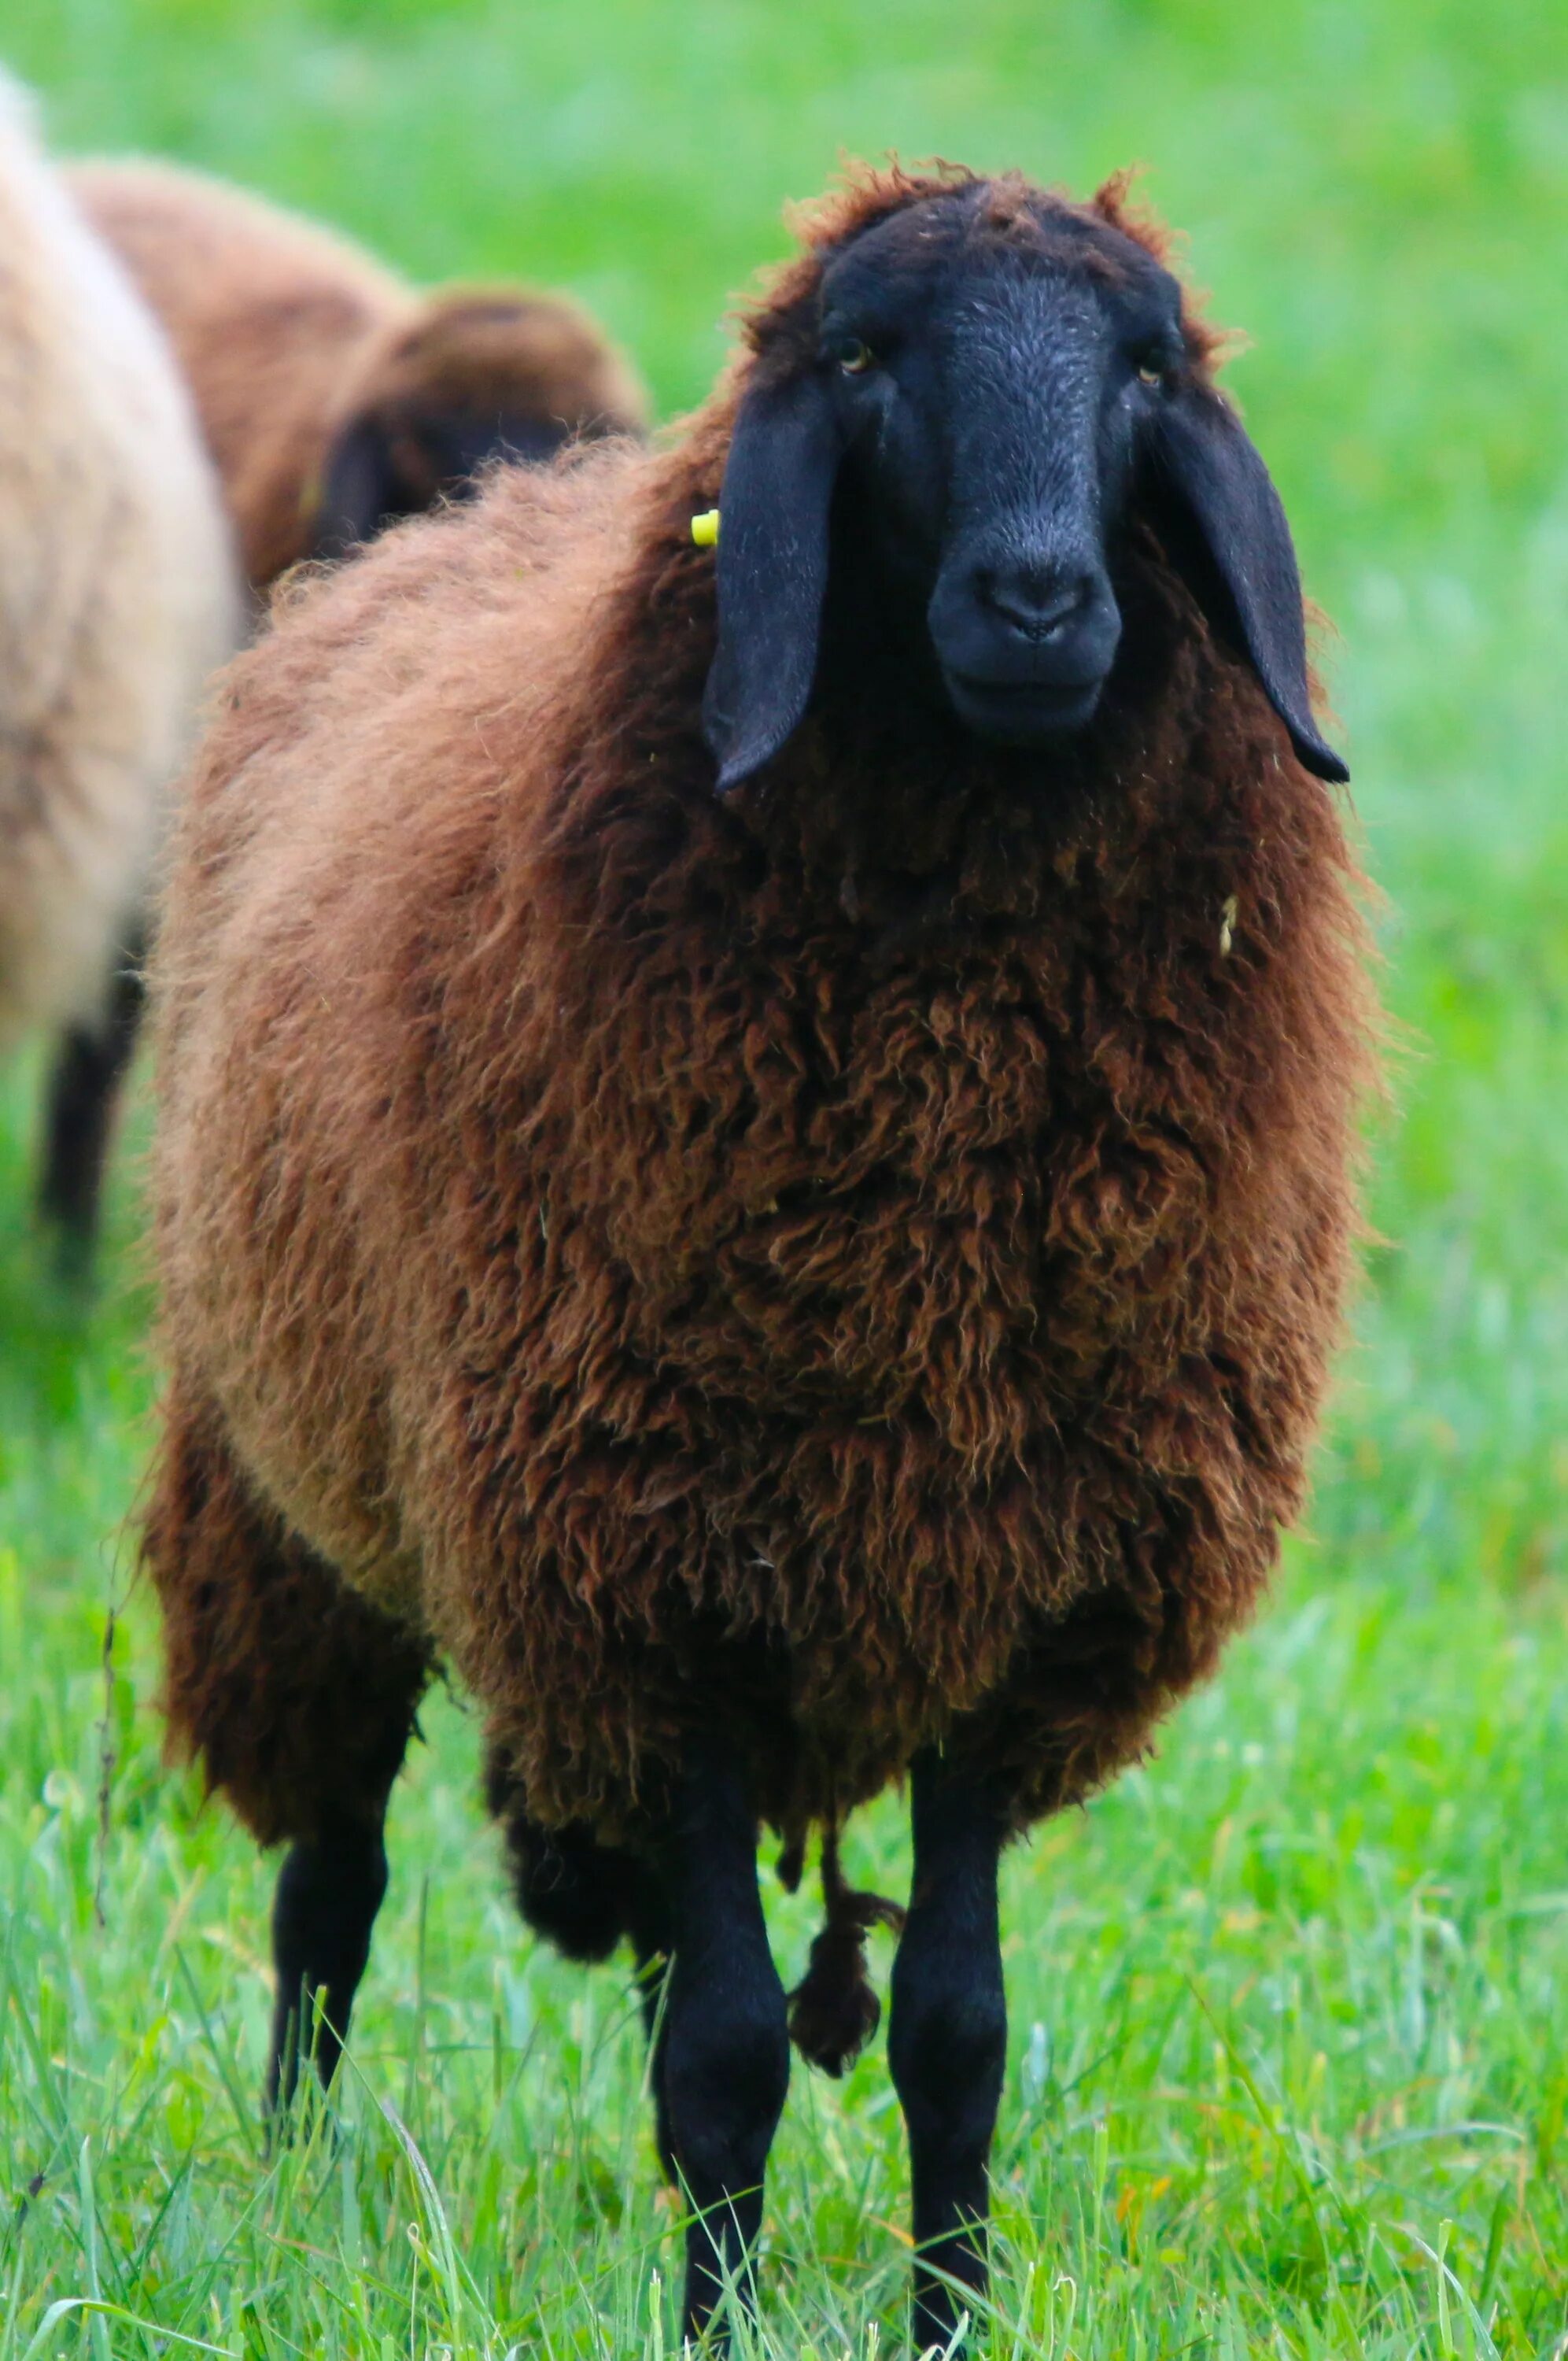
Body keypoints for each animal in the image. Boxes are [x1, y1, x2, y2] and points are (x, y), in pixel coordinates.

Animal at [144, 161, 1369, 2342]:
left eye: (1147, 366)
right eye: (864, 358)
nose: (1041, 603)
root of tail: (490, 504)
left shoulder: (1006, 1592)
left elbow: (952, 2036)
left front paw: (941, 2310)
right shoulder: (646, 1583)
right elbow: (719, 2055)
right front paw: (711, 2319)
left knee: (632, 1940)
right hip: (290, 1505)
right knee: (329, 1886)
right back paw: (288, 2180)